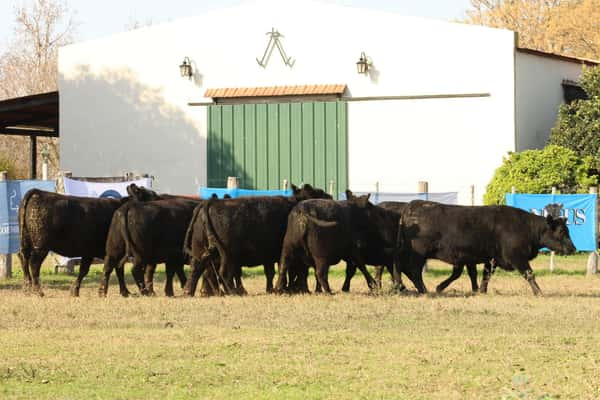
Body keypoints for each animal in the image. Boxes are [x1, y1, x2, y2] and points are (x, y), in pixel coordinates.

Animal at [17, 183, 161, 296]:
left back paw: (26, 288)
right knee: (34, 264)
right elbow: (110, 269)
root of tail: (38, 192)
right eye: (150, 196)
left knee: (23, 258)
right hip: (41, 246)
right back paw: (38, 291)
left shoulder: (90, 253)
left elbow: (89, 270)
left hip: (26, 242)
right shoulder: (111, 251)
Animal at [184, 184, 332, 294]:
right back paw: (232, 292)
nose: (330, 197)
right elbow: (296, 271)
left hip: (201, 250)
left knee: (197, 269)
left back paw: (190, 291)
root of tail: (211, 203)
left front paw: (273, 289)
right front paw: (294, 289)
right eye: (320, 193)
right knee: (222, 273)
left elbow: (271, 272)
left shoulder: (269, 255)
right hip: (227, 255)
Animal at [394, 202, 576, 296]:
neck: (526, 227)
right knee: (413, 271)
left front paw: (481, 291)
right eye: (561, 232)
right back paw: (423, 290)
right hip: (417, 255)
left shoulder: (492, 258)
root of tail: (410, 207)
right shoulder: (516, 257)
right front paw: (539, 292)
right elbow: (529, 274)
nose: (572, 248)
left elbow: (485, 275)